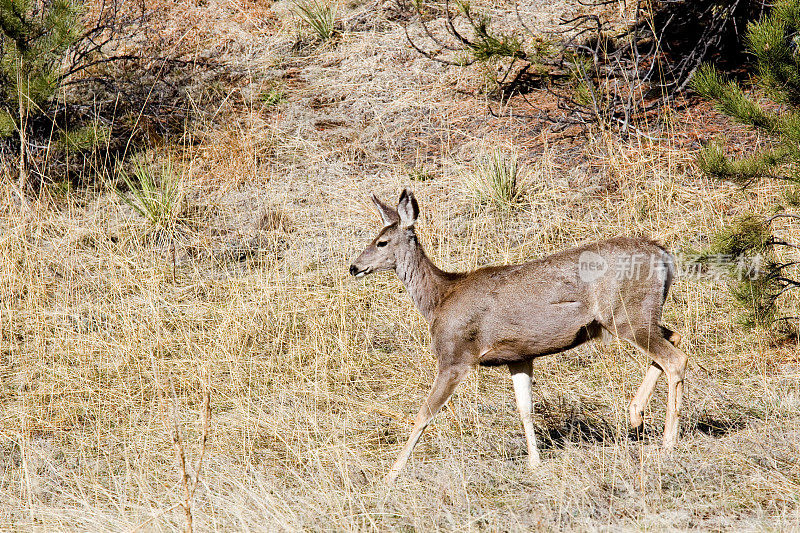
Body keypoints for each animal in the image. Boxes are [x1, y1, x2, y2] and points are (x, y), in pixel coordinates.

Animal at [350, 188, 688, 482]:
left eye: (381, 242)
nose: (354, 266)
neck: (439, 300)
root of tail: (664, 255)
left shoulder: (454, 356)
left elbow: (423, 414)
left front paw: (391, 474)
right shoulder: (519, 355)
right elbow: (525, 409)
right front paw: (535, 462)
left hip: (626, 315)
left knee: (676, 359)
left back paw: (667, 443)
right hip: (640, 315)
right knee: (674, 337)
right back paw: (636, 415)